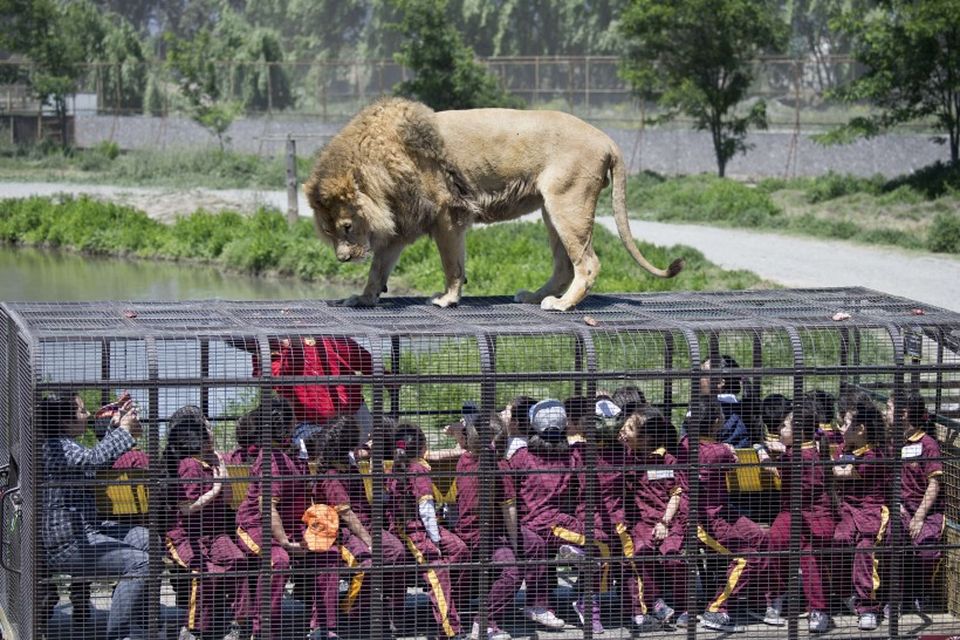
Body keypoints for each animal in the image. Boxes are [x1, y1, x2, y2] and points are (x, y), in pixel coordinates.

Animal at [304, 95, 680, 312]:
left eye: (347, 227)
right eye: (328, 232)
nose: (342, 258)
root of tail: (606, 139)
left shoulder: (448, 215)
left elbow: (452, 264)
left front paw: (447, 298)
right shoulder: (402, 223)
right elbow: (377, 268)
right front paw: (362, 298)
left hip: (568, 204)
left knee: (587, 263)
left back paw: (561, 305)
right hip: (551, 209)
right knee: (563, 266)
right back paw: (535, 296)